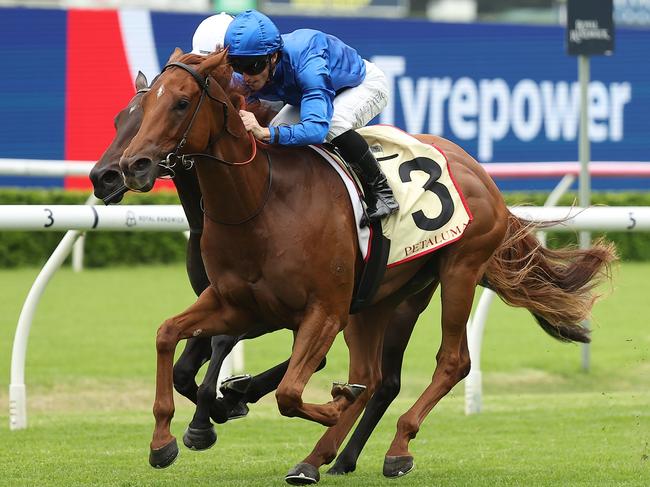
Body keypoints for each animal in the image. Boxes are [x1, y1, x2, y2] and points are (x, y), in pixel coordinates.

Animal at [117, 47, 616, 482]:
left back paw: (395, 447)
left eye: (181, 103)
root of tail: (480, 174)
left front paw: (291, 402)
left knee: (451, 362)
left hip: (457, 270)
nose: (129, 166)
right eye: (135, 111)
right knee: (373, 376)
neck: (260, 202)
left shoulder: (323, 310)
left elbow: (290, 391)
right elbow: (167, 335)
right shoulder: (237, 303)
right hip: (380, 297)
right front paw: (164, 440)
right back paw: (316, 458)